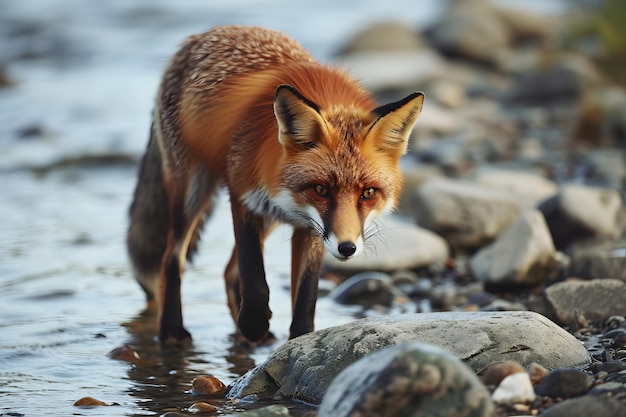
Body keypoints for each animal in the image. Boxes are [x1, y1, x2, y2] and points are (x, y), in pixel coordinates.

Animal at [125, 25, 424, 342]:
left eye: (368, 193)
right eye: (321, 189)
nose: (347, 248)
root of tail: (202, 35)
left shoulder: (311, 228)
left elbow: (305, 297)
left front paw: (298, 340)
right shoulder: (242, 196)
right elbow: (255, 279)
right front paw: (254, 323)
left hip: (267, 217)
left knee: (228, 272)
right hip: (192, 194)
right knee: (173, 258)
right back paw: (173, 331)